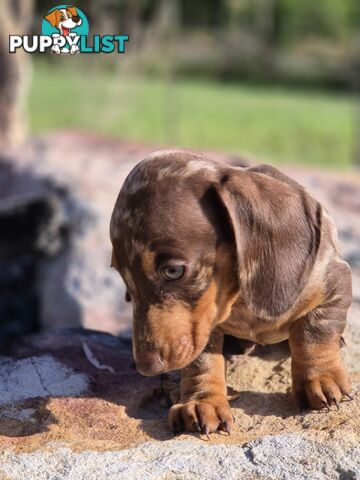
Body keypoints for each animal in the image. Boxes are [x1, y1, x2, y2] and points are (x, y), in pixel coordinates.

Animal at [109, 152, 352, 436]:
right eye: (122, 275)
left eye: (173, 271)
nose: (146, 368)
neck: (239, 299)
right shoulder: (201, 325)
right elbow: (202, 361)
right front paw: (201, 402)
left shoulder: (334, 283)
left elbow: (314, 333)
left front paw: (321, 378)